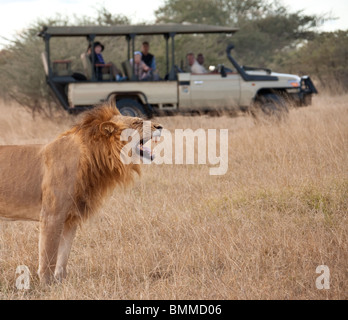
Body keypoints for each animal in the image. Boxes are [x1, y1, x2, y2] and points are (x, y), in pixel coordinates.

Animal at [0, 103, 163, 284]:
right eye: (137, 122)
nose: (160, 127)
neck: (93, 158)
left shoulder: (71, 218)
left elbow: (63, 255)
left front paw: (61, 282)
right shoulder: (52, 216)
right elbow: (49, 255)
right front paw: (46, 284)